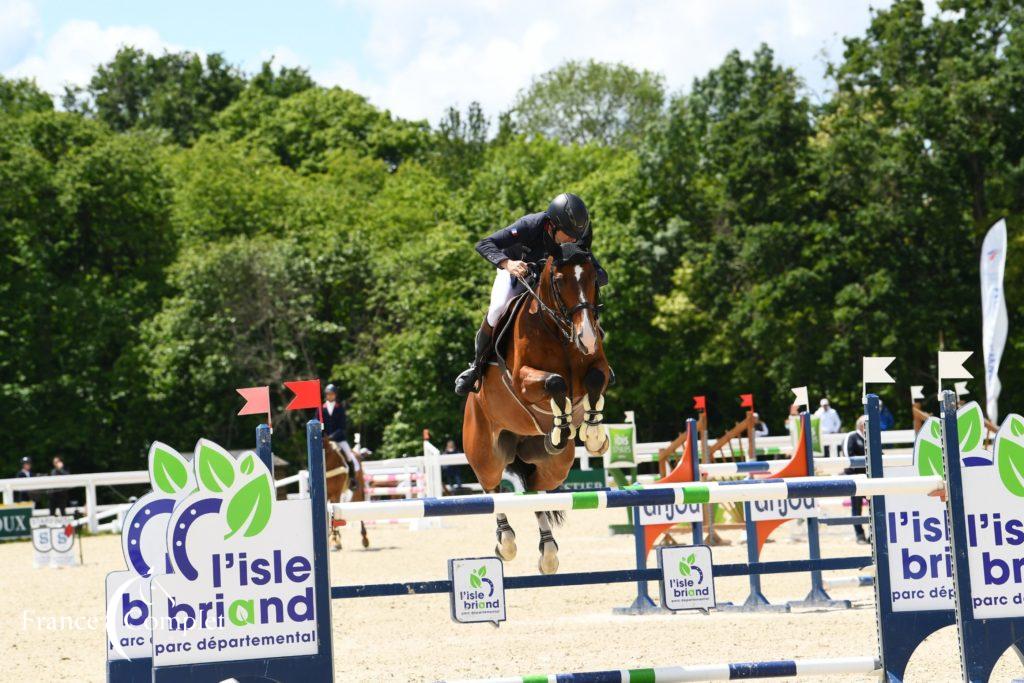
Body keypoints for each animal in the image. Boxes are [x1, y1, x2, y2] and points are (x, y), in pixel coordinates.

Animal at [462, 242, 606, 573]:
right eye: (559, 281)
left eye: (594, 278)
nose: (586, 336)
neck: (558, 330)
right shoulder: (523, 380)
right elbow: (555, 382)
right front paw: (561, 426)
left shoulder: (599, 366)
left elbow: (594, 379)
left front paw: (594, 435)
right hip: (486, 456)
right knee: (493, 491)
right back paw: (506, 544)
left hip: (556, 466)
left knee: (536, 492)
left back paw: (548, 553)